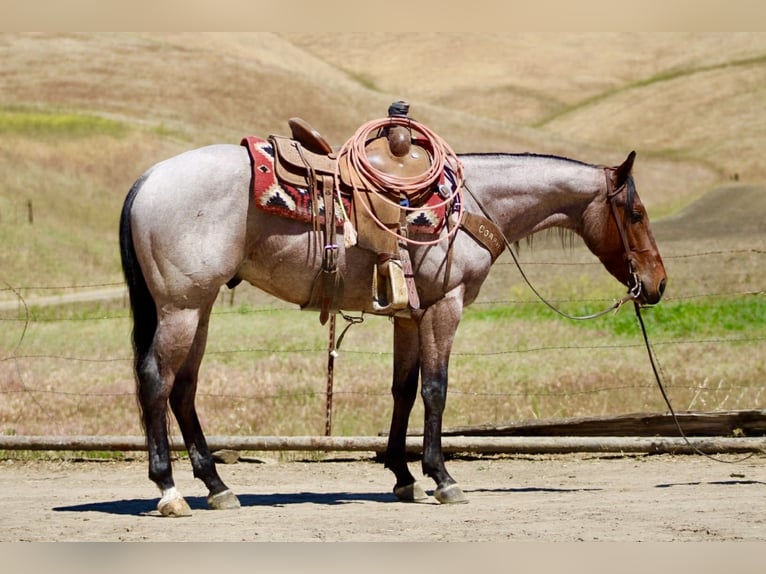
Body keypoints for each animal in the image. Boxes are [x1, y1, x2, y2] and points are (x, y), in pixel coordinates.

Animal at [119, 141, 666, 516]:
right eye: (637, 213)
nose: (657, 284)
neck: (472, 205)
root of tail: (148, 178)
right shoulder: (445, 306)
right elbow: (436, 389)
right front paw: (442, 477)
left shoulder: (410, 315)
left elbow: (403, 389)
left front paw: (403, 476)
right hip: (182, 308)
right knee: (156, 383)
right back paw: (169, 490)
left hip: (200, 307)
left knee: (184, 389)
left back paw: (217, 487)